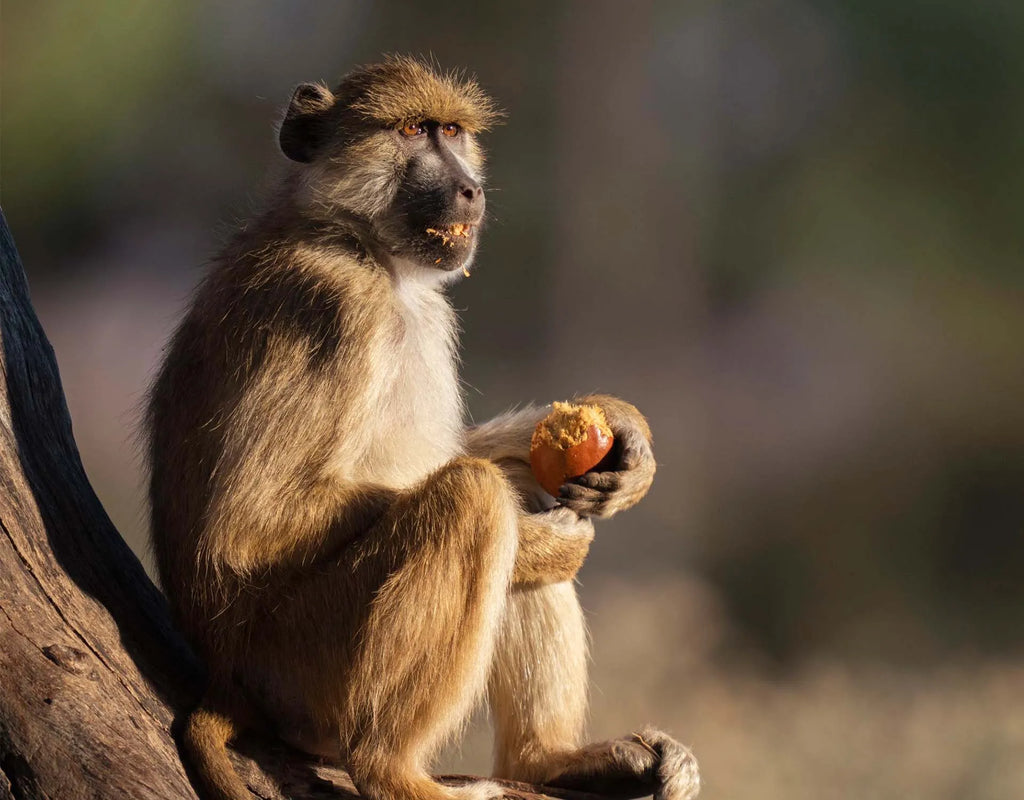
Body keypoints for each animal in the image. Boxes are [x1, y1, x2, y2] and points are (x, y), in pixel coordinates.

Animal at [145, 56, 700, 800]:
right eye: (412, 131)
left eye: (454, 132)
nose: (470, 190)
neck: (360, 245)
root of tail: (229, 681)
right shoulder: (333, 306)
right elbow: (250, 522)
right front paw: (541, 545)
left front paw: (624, 439)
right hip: (302, 668)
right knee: (474, 499)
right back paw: (393, 771)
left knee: (498, 483)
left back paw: (548, 762)